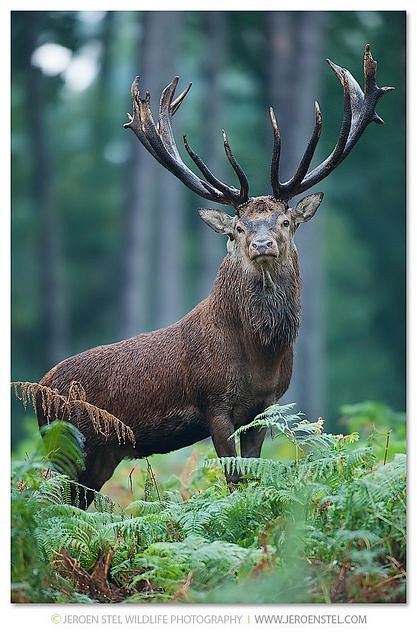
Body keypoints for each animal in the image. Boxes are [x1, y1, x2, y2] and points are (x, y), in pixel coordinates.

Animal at [29, 43, 390, 504]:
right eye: (238, 228)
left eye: (285, 221)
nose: (262, 244)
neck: (261, 357)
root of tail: (38, 390)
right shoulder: (214, 404)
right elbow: (233, 480)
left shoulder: (266, 407)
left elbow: (252, 475)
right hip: (65, 442)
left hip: (101, 455)